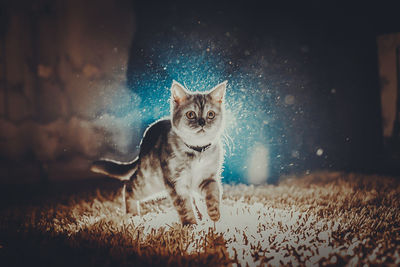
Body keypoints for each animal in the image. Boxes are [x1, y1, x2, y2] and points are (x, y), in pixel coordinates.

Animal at [92, 80, 227, 226]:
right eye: (190, 114)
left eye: (211, 114)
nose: (202, 122)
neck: (197, 152)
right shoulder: (175, 182)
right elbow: (184, 207)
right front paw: (191, 226)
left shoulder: (208, 177)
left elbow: (213, 193)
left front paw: (214, 214)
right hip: (150, 180)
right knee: (128, 186)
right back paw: (132, 215)